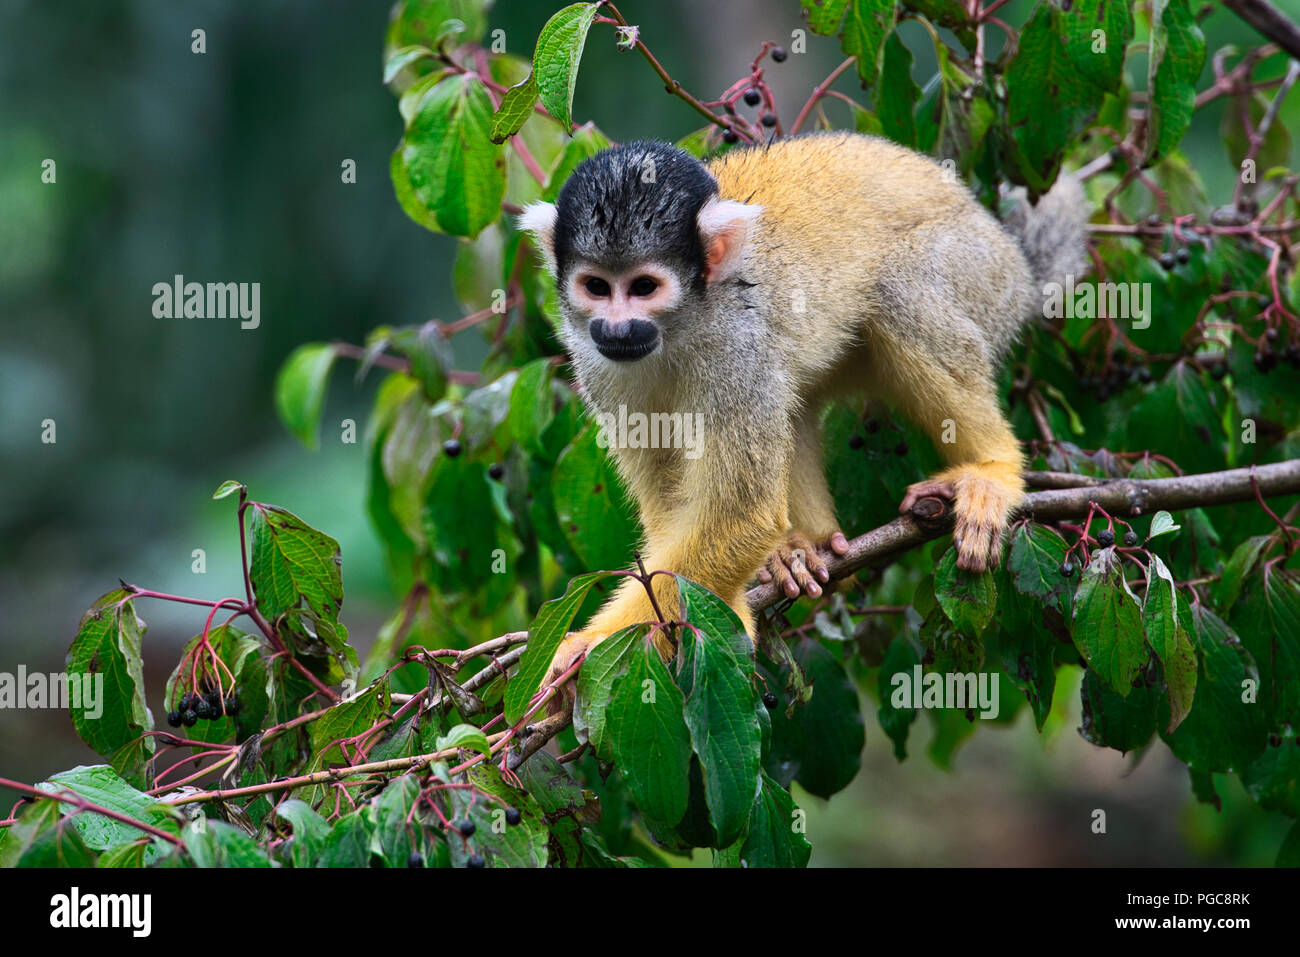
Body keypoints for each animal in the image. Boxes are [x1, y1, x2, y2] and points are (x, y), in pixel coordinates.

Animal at [519, 131, 1088, 680]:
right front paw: (725, 605)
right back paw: (803, 550)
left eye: (643, 287)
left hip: (983, 274)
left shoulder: (737, 343)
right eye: (597, 287)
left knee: (899, 288)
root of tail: (1010, 251)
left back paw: (994, 467)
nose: (616, 329)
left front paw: (590, 644)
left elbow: (741, 514)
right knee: (792, 392)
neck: (679, 329)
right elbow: (674, 498)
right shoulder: (595, 363)